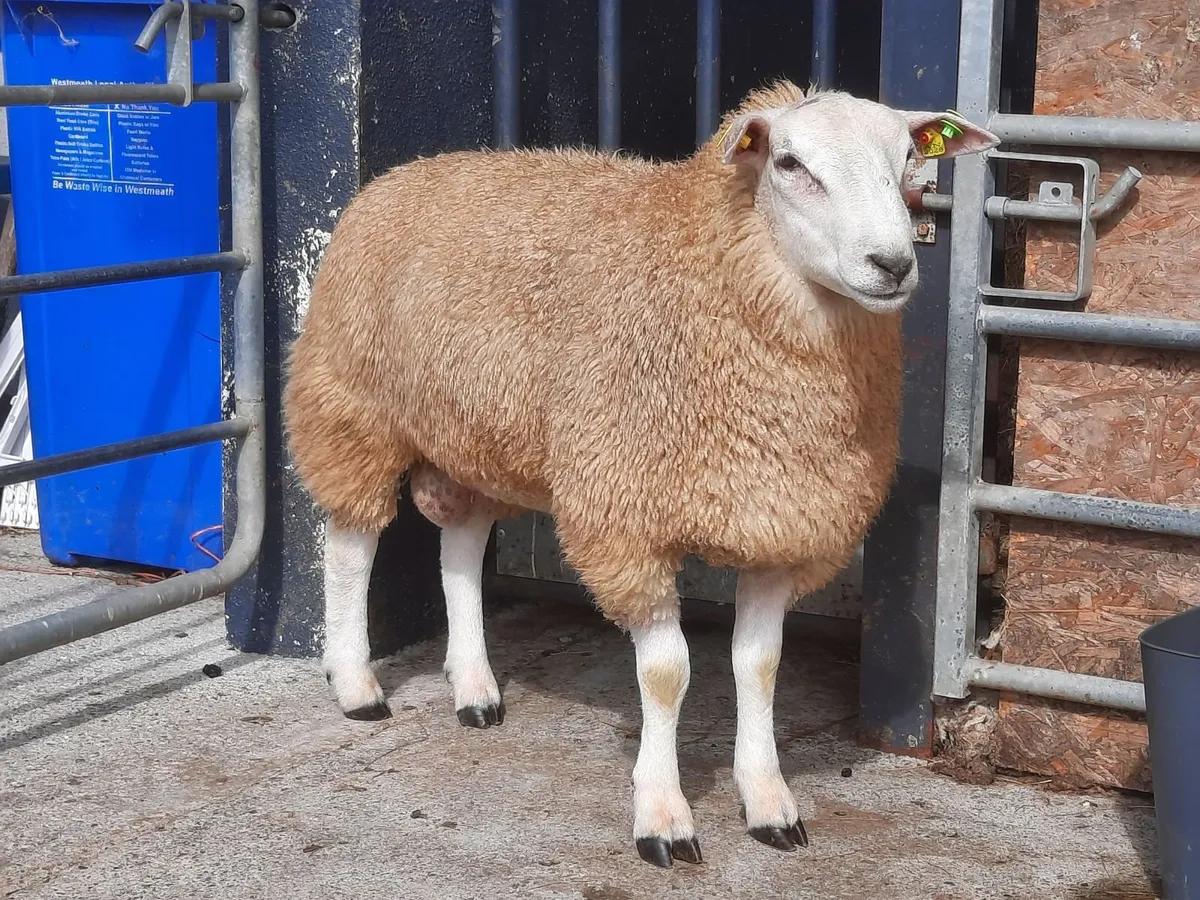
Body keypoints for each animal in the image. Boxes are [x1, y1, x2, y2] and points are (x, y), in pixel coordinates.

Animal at [283, 80, 999, 868]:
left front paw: (769, 802)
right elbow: (667, 675)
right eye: (789, 164)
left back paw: (474, 688)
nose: (892, 264)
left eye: (908, 159)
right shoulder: (627, 517)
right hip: (352, 402)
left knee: (463, 543)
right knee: (350, 544)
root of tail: (408, 170)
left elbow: (761, 666)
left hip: (477, 430)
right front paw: (663, 815)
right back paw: (356, 684)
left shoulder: (780, 520)